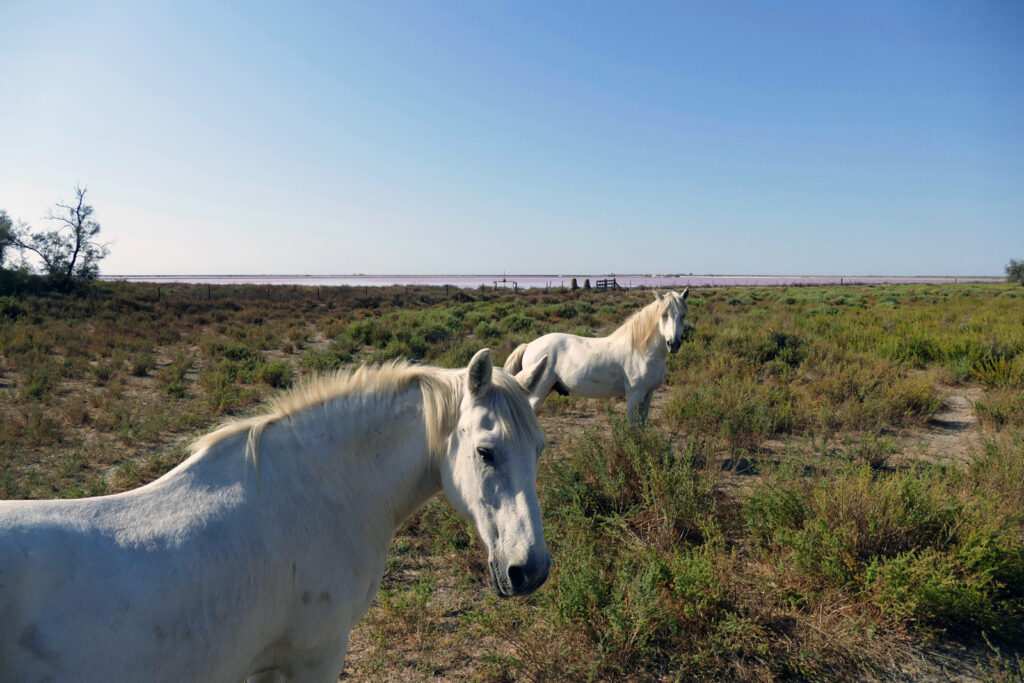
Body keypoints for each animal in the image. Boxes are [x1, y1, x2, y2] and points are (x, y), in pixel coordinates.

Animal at [501, 290, 688, 423]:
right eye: (664, 315)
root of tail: (529, 345)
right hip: (537, 393)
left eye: (683, 315)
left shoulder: (648, 395)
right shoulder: (634, 395)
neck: (642, 351)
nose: (673, 344)